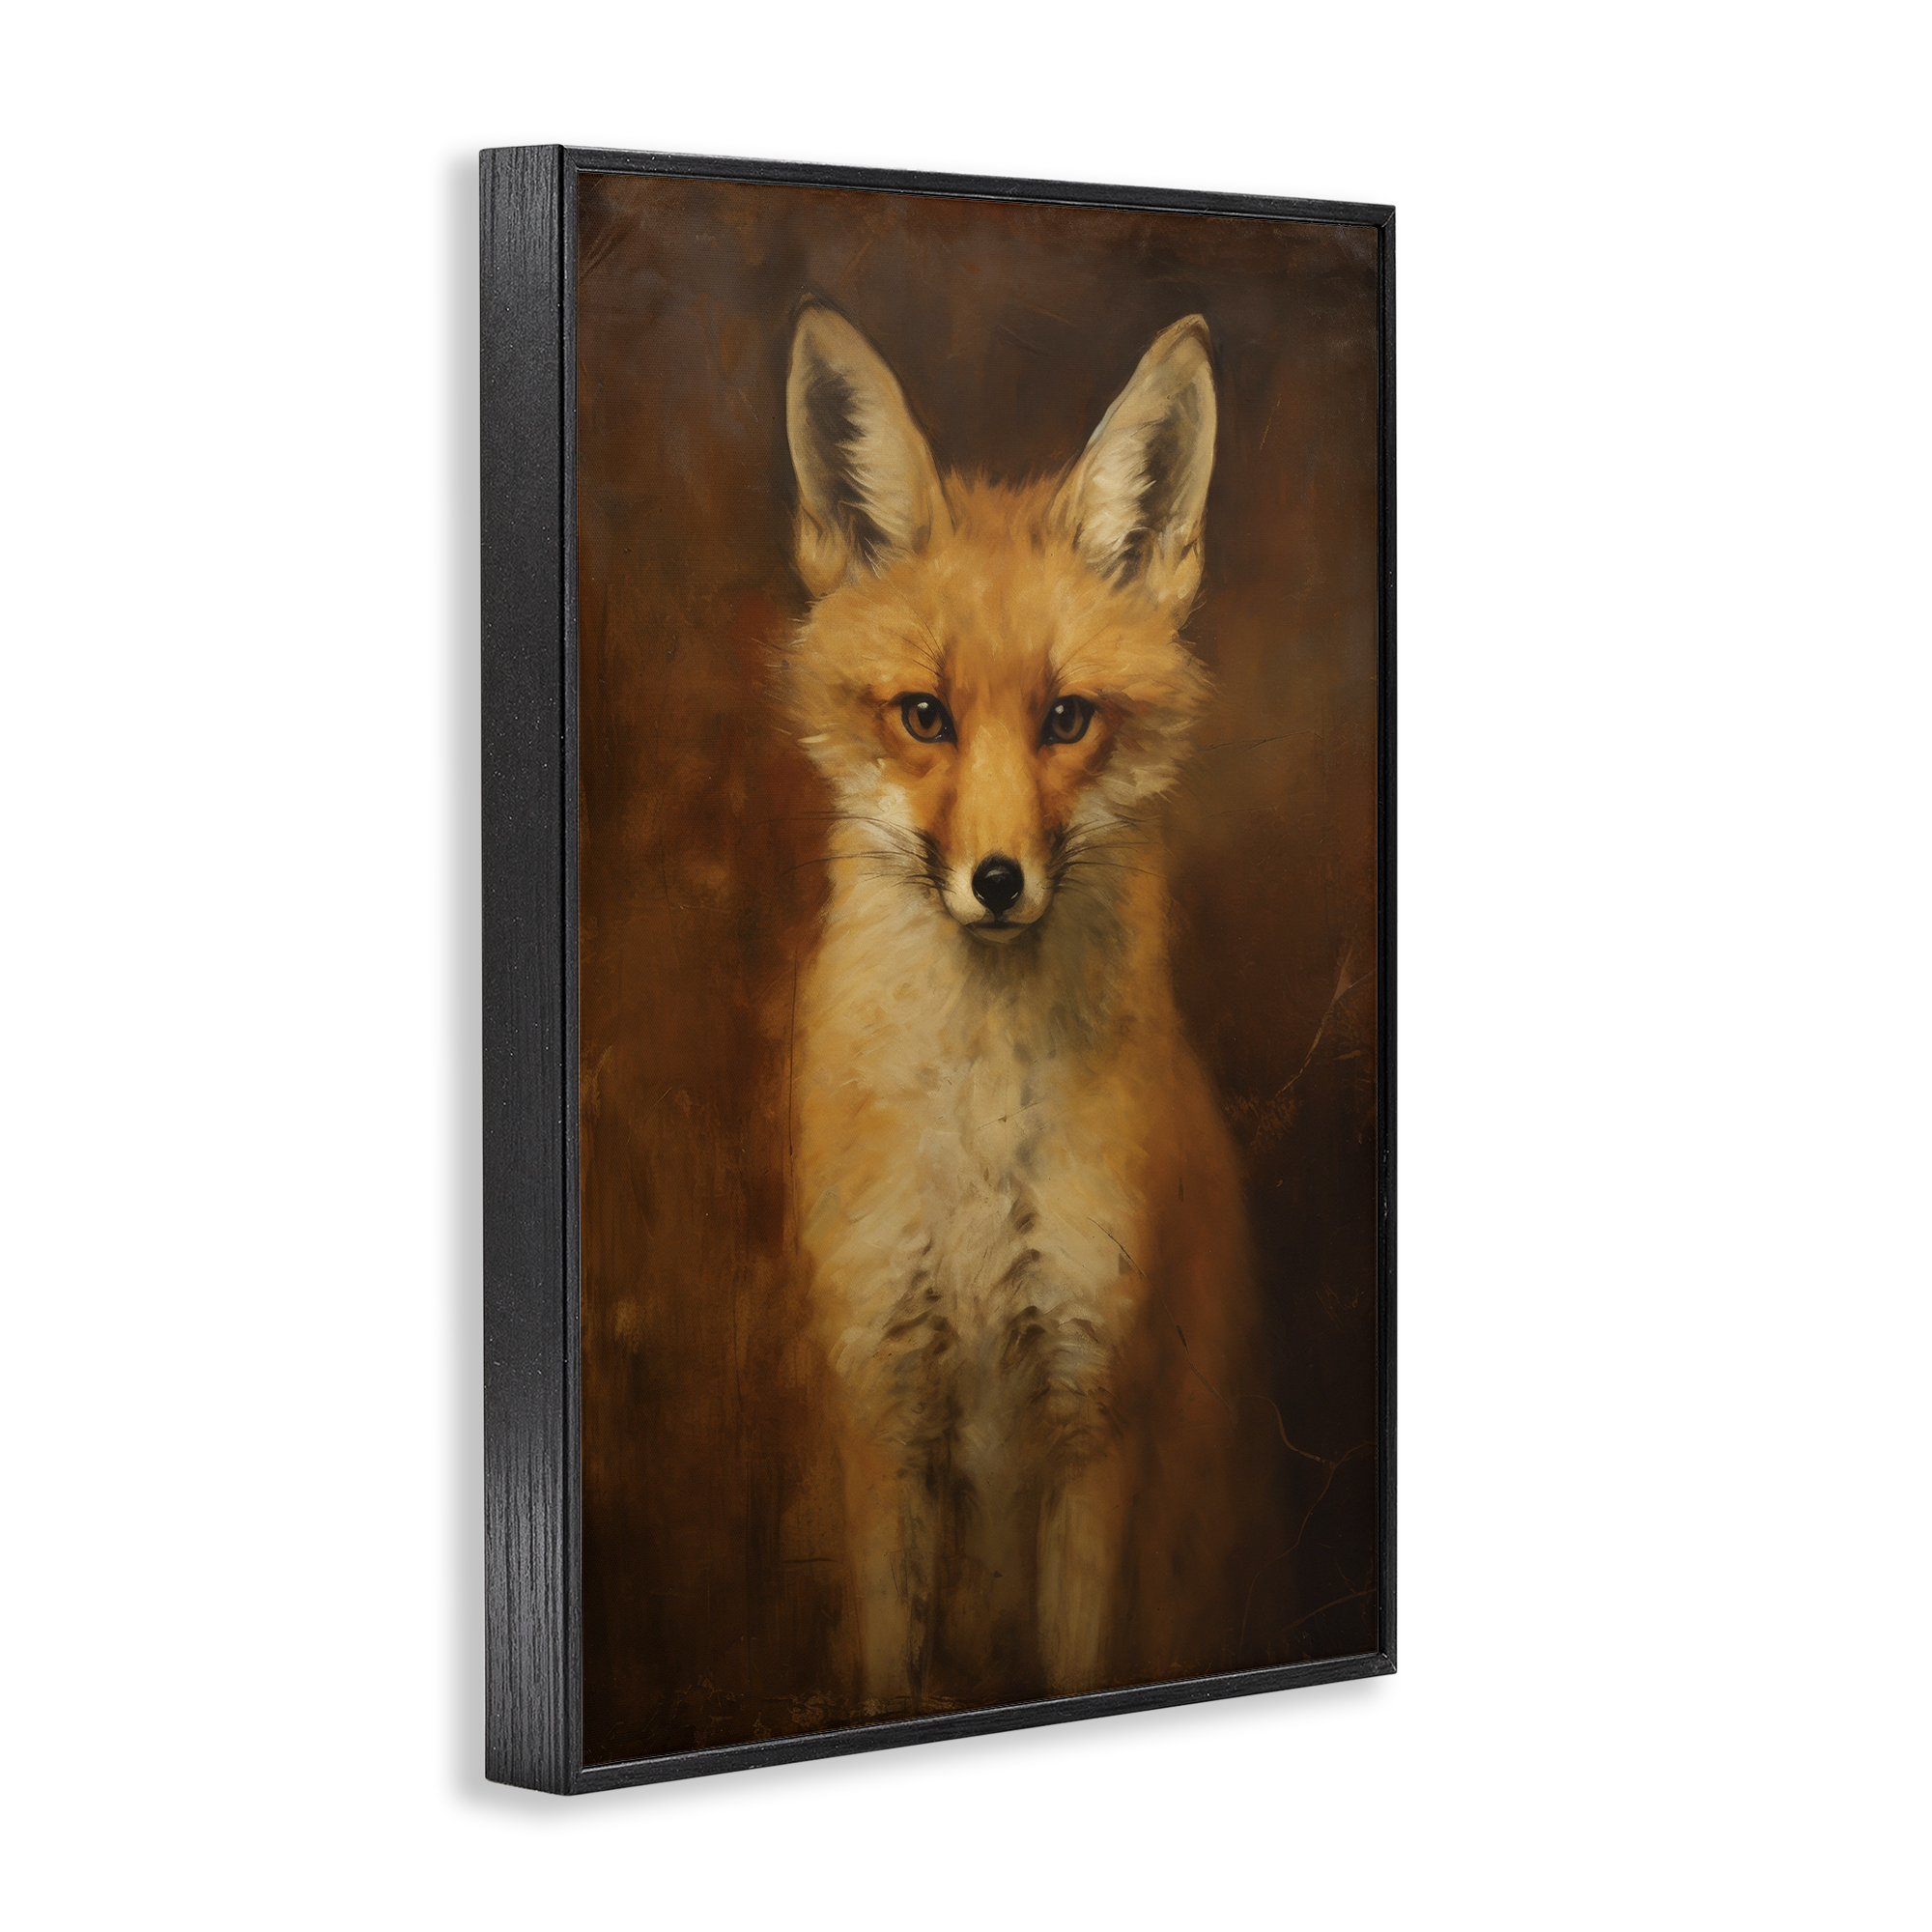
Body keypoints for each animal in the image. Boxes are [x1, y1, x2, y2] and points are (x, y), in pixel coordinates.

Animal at [779, 304, 1262, 1710]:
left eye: (1066, 718)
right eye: (924, 715)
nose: (996, 881)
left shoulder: (1096, 1415)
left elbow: (1077, 1658)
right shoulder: (884, 1402)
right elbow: (890, 1679)